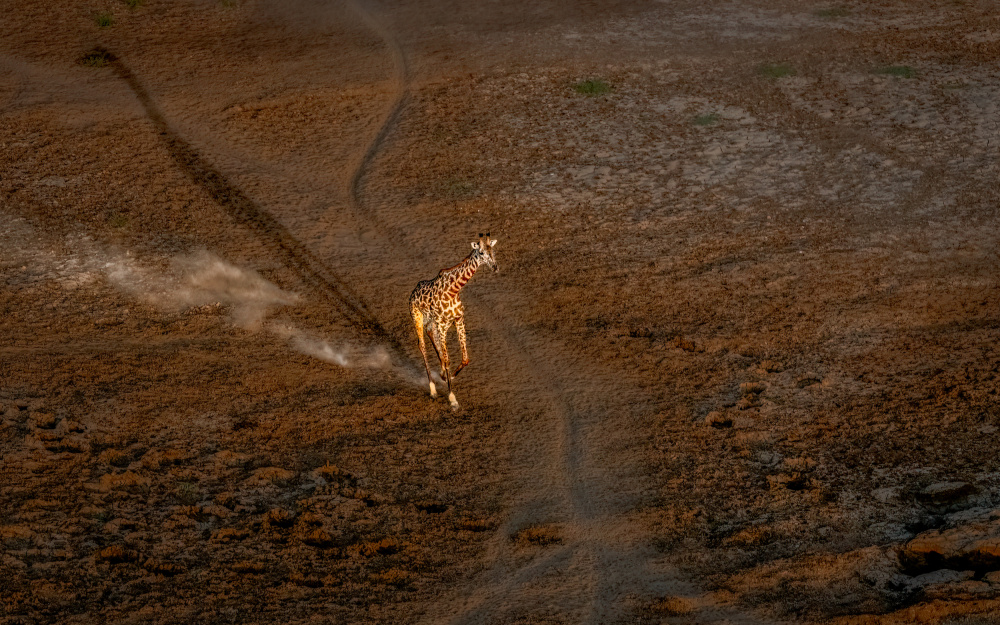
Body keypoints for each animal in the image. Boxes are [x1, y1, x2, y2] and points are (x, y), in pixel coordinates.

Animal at [408, 232, 498, 408]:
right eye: (481, 253)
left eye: (493, 251)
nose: (495, 267)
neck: (453, 290)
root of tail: (413, 291)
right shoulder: (442, 324)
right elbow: (448, 359)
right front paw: (452, 398)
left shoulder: (458, 319)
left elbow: (465, 359)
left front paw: (448, 376)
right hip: (418, 316)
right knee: (422, 345)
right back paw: (432, 389)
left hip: (433, 321)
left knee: (431, 335)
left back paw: (441, 374)